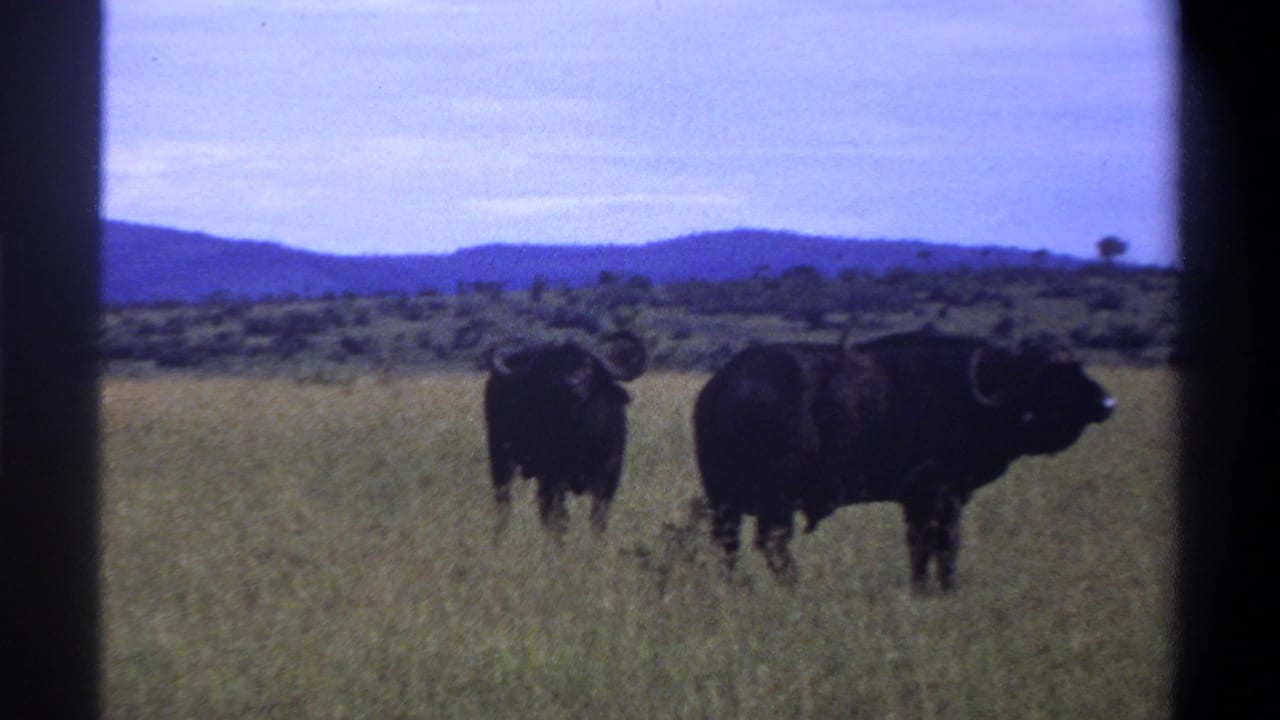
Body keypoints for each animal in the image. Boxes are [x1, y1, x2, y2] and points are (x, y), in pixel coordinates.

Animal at [484, 331, 647, 541]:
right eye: (554, 367)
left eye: (587, 365)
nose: (571, 384)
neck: (579, 436)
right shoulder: (553, 478)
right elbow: (559, 520)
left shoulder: (609, 475)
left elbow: (599, 517)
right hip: (500, 457)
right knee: (504, 500)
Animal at [693, 329, 1114, 591]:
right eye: (1051, 375)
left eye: (1077, 365)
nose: (1108, 403)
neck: (975, 395)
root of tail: (721, 389)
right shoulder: (937, 496)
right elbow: (938, 543)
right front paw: (935, 588)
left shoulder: (922, 501)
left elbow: (926, 546)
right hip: (775, 501)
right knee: (772, 543)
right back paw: (795, 587)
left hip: (724, 501)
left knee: (729, 545)